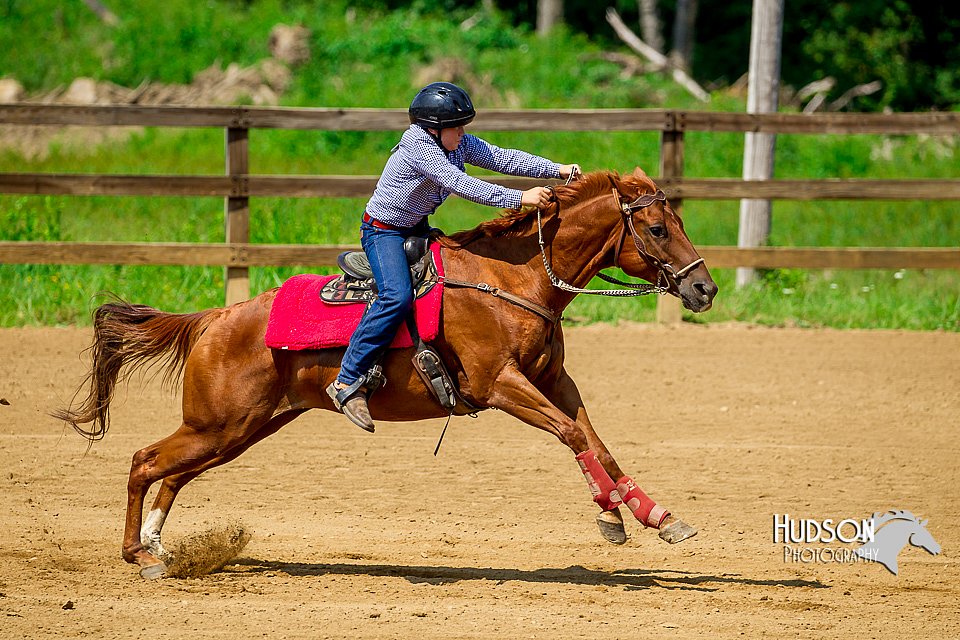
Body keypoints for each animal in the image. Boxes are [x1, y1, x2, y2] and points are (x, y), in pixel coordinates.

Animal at [52, 168, 712, 576]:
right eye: (658, 229)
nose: (704, 288)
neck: (512, 279)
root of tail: (217, 317)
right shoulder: (501, 385)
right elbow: (575, 436)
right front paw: (610, 518)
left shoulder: (554, 383)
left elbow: (598, 441)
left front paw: (659, 517)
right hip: (220, 423)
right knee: (145, 461)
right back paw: (139, 555)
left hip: (239, 429)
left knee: (174, 475)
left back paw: (158, 547)